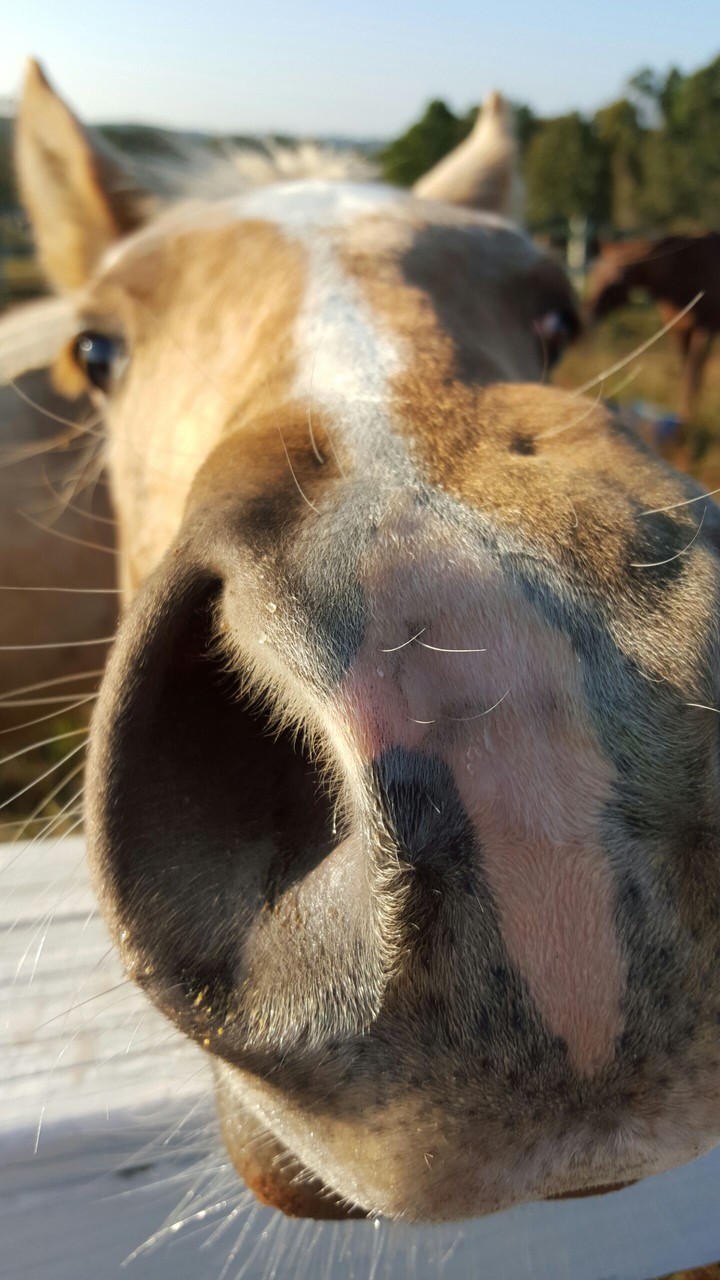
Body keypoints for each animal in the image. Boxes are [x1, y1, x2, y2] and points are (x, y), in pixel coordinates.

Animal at [584, 234, 720, 426]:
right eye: (595, 272)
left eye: (617, 280)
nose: (588, 311)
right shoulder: (679, 331)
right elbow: (687, 375)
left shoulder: (703, 329)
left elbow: (693, 377)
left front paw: (690, 419)